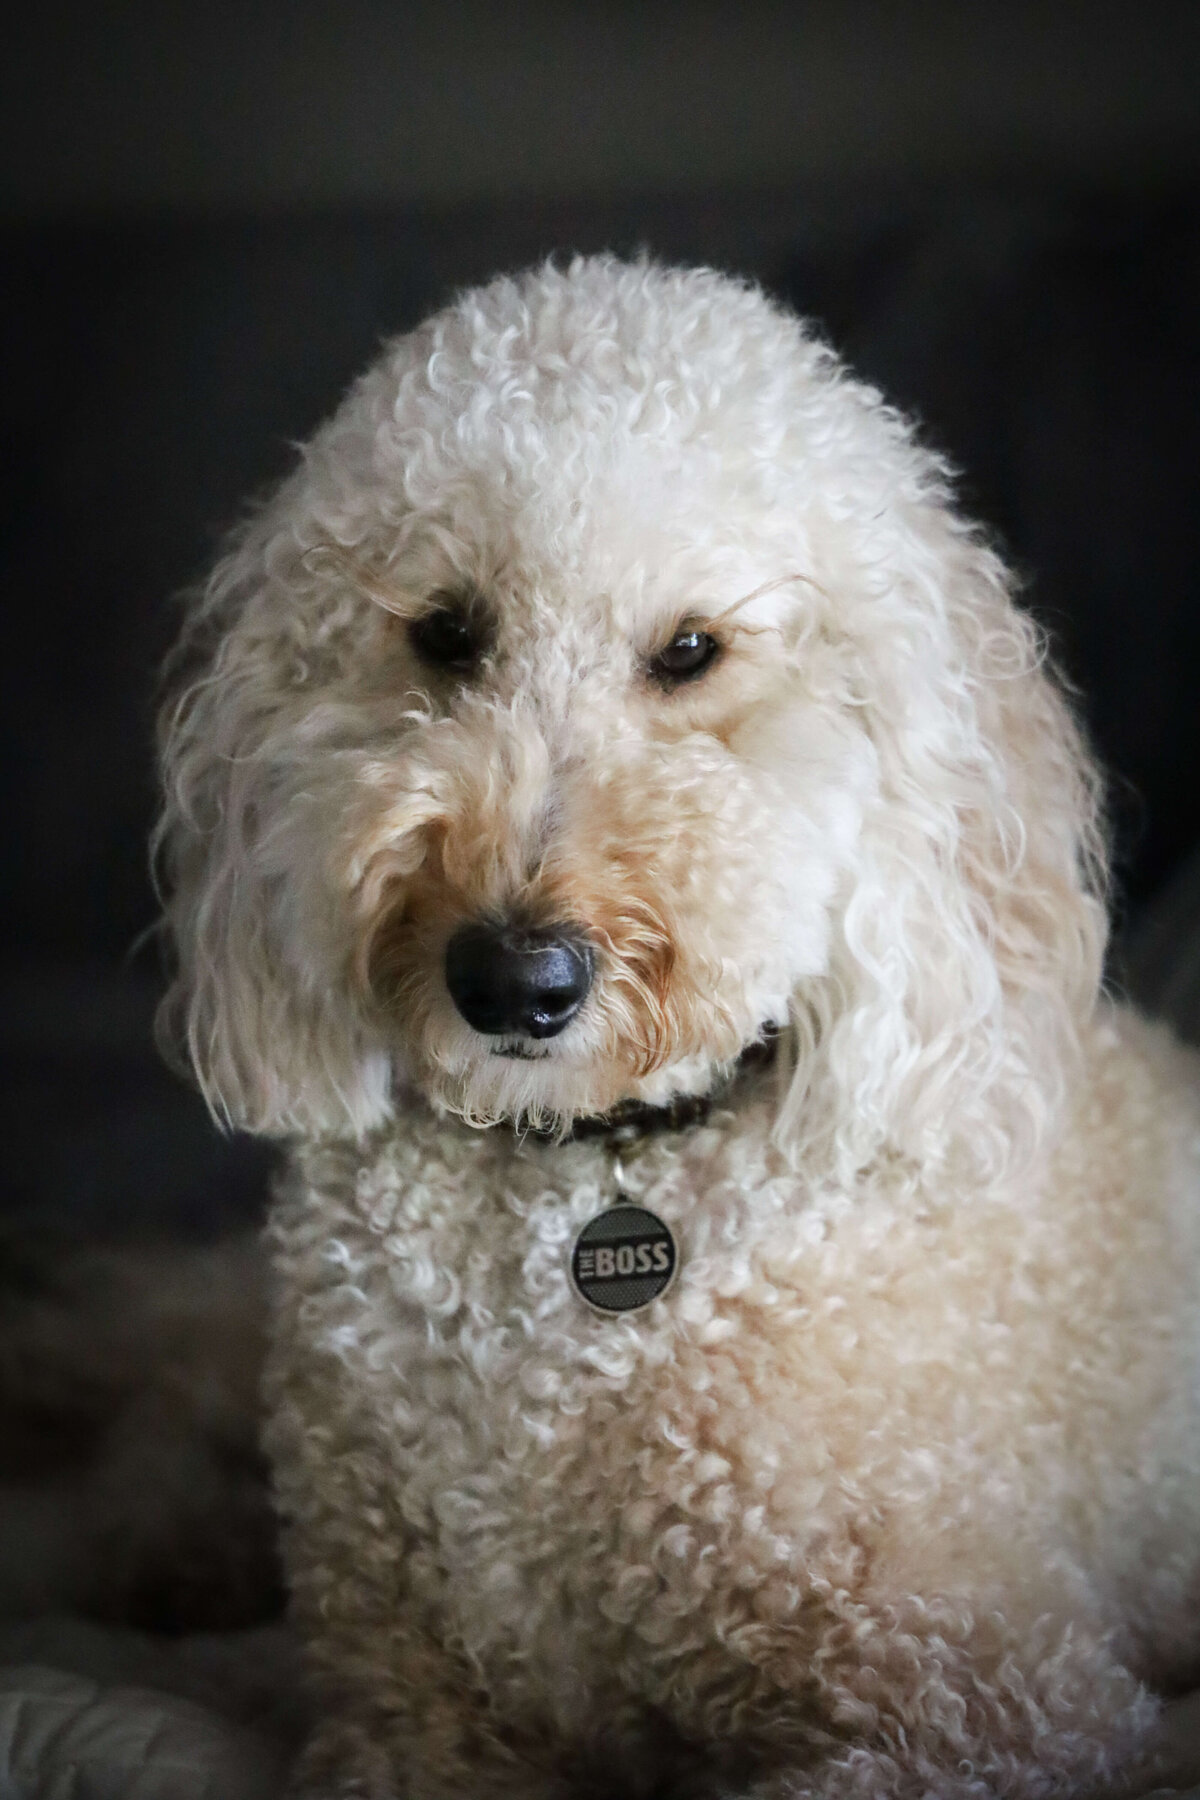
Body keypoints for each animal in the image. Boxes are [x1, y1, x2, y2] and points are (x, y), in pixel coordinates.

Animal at [154, 261, 1200, 1792]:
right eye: (447, 633)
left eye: (691, 653)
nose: (514, 978)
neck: (580, 1183)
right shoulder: (406, 1716)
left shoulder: (1008, 1705)